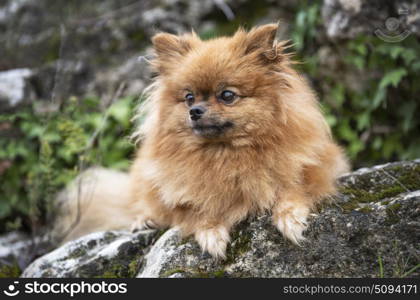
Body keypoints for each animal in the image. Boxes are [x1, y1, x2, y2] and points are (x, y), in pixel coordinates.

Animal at [55, 24, 348, 258]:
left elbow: (293, 188)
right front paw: (211, 233)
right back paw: (145, 220)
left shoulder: (313, 167)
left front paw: (290, 218)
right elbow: (198, 209)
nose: (195, 111)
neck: (226, 154)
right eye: (189, 98)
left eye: (227, 95)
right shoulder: (182, 194)